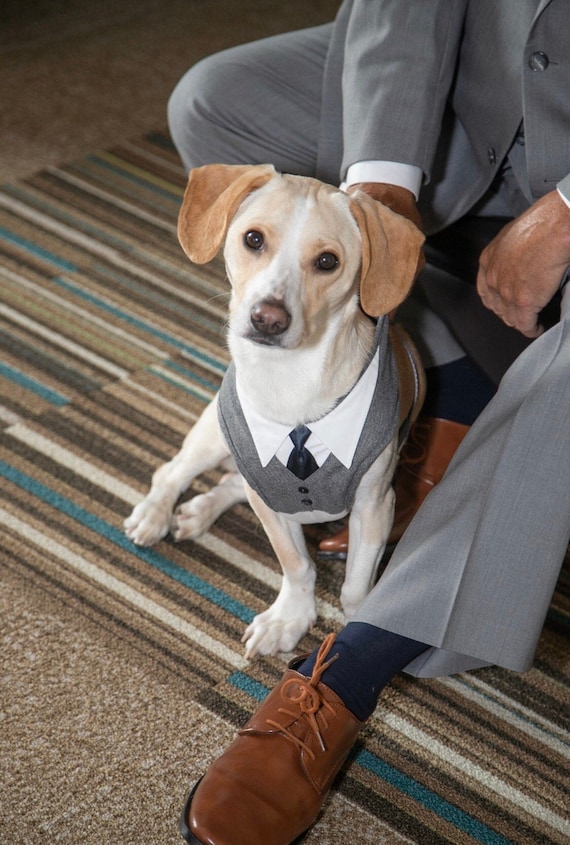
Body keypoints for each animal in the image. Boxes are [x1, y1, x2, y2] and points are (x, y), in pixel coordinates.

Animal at [125, 162, 426, 656]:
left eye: (328, 261)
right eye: (253, 239)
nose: (268, 319)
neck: (291, 387)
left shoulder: (376, 504)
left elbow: (356, 587)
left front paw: (355, 629)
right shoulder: (269, 498)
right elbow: (297, 565)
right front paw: (290, 618)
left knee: (228, 482)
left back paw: (199, 510)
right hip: (215, 437)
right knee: (172, 471)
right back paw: (155, 514)